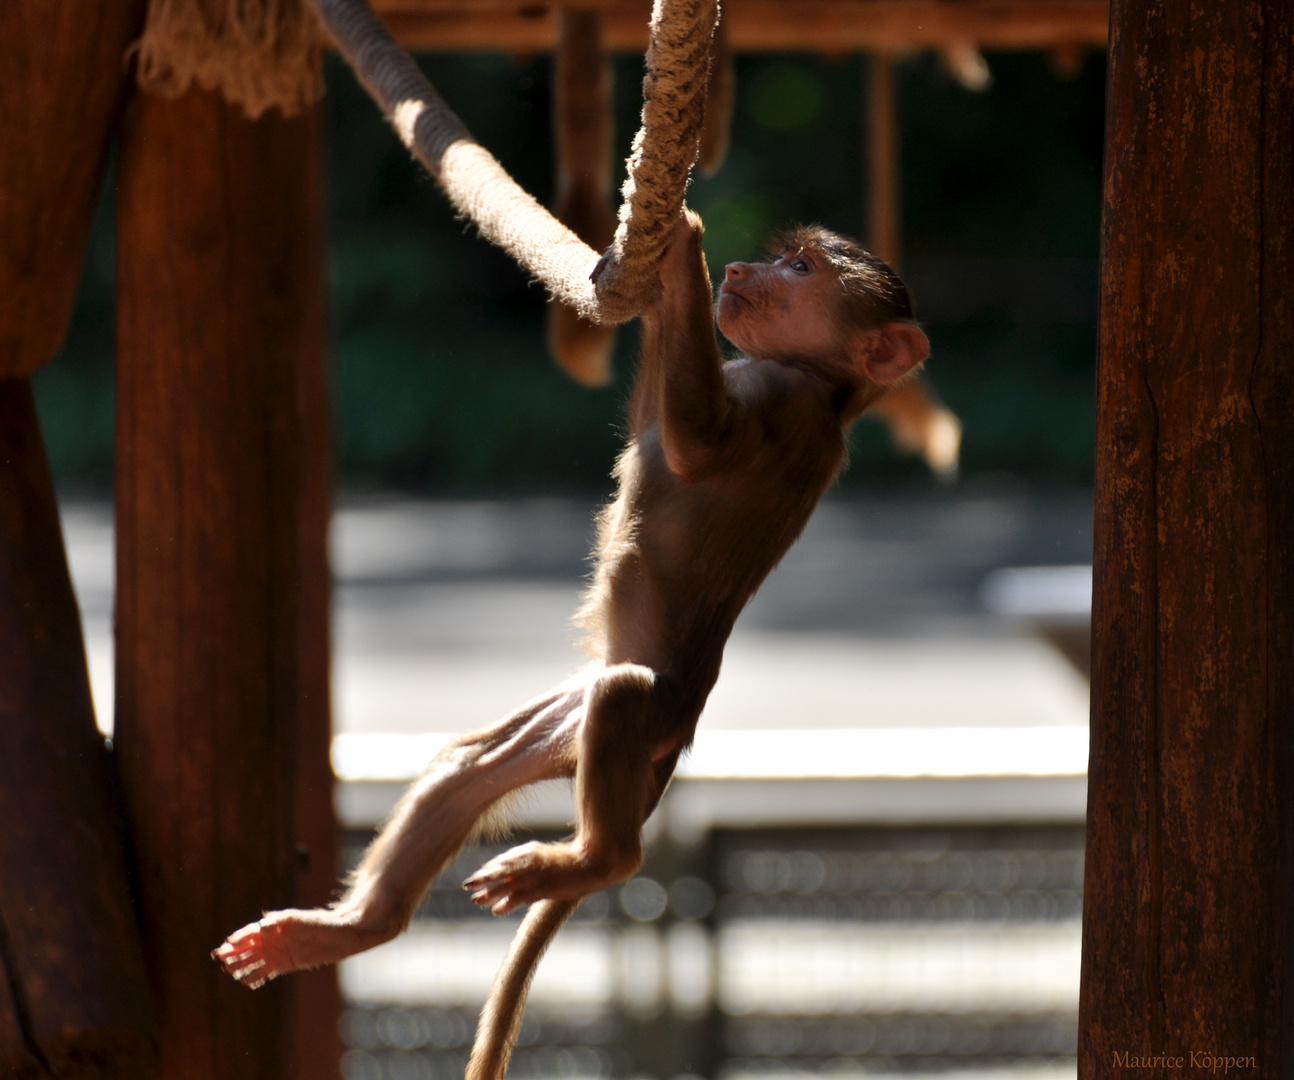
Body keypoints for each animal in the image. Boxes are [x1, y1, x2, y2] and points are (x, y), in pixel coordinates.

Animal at [212, 209, 926, 1080]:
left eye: (799, 268)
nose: (742, 270)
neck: (822, 386)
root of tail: (680, 737)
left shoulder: (784, 403)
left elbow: (695, 444)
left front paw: (683, 245)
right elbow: (657, 425)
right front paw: (661, 280)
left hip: (652, 708)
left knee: (624, 704)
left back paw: (599, 862)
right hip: (569, 724)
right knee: (468, 765)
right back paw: (348, 931)